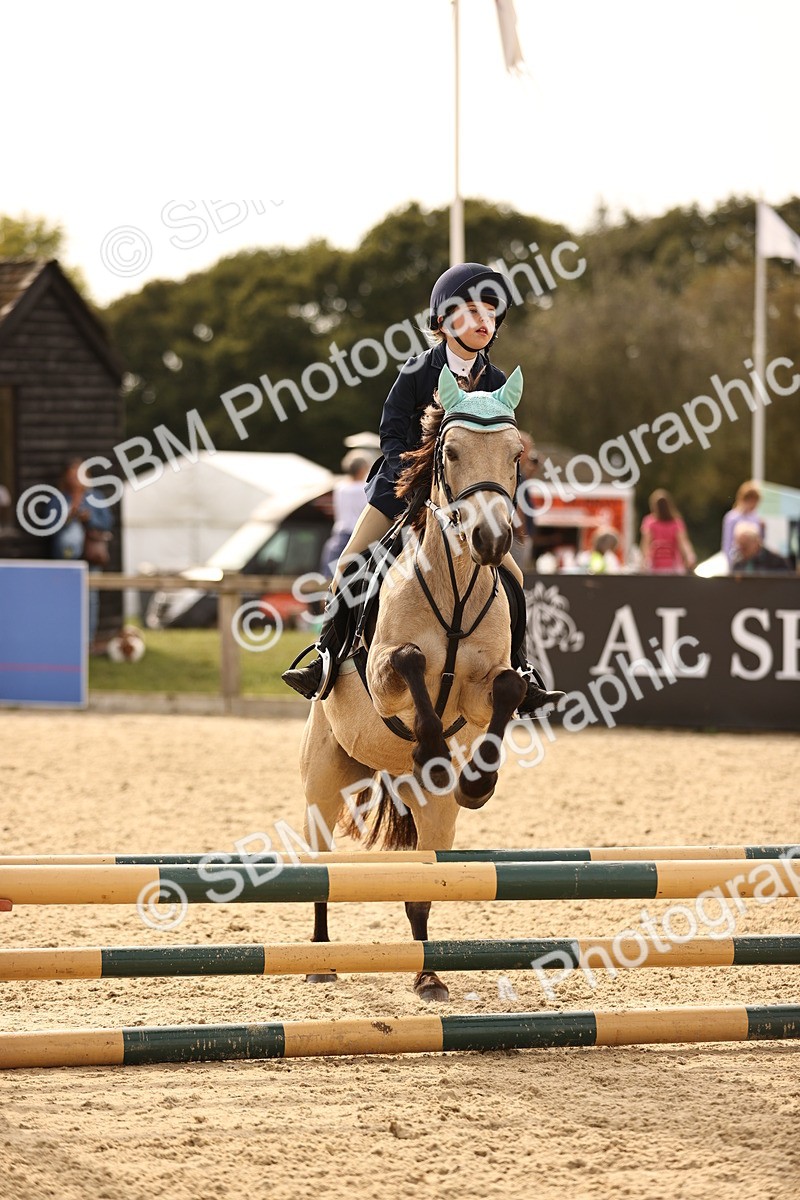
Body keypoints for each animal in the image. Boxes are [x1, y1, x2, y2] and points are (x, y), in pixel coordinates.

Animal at [298, 366, 528, 1002]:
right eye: (449, 453)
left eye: (516, 455)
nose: (491, 542)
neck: (455, 593)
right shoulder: (382, 676)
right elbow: (407, 663)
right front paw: (431, 749)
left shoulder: (481, 690)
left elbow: (506, 689)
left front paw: (476, 780)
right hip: (323, 780)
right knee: (321, 865)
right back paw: (321, 958)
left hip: (433, 816)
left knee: (424, 888)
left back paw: (429, 976)